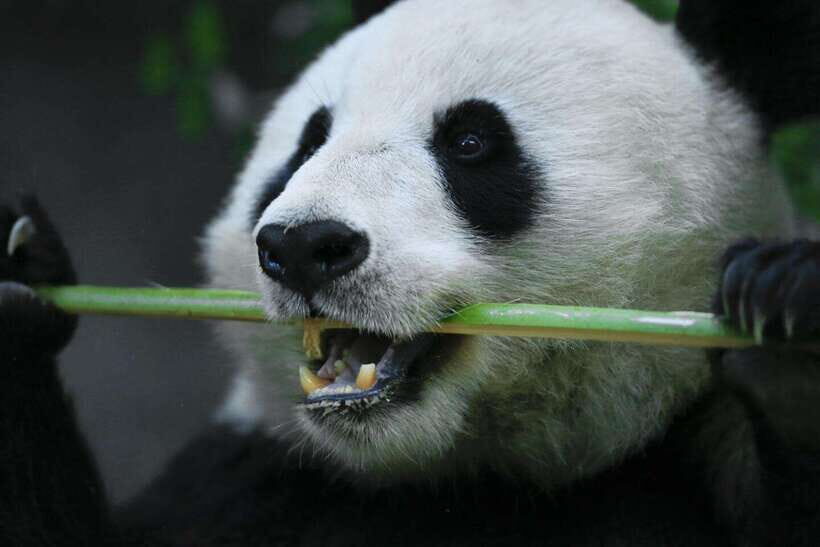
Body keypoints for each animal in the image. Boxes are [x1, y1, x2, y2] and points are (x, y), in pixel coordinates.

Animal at [1, 0, 819, 545]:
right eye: (308, 143)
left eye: (470, 141)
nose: (304, 245)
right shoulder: (257, 479)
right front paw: (16, 269)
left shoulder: (683, 462)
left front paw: (785, 323)